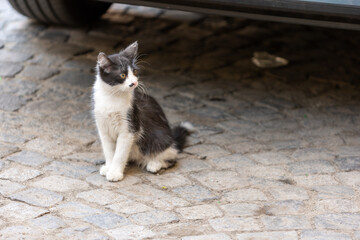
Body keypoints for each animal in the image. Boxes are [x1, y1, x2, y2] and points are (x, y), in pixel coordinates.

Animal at [93, 41, 194, 181]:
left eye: (135, 72)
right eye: (123, 75)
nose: (134, 83)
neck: (112, 97)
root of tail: (173, 140)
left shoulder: (129, 127)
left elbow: (119, 154)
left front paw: (115, 173)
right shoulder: (103, 128)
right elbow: (109, 151)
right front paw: (109, 167)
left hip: (159, 139)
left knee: (171, 157)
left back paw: (154, 164)